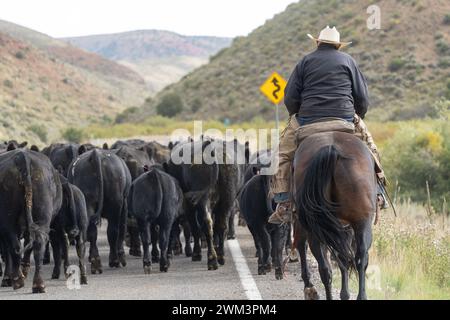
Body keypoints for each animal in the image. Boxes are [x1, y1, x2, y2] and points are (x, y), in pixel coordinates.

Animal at [0, 148, 62, 292]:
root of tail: (22, 157)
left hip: (8, 220)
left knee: (16, 246)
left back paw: (18, 279)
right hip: (41, 218)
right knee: (36, 243)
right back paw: (37, 284)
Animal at [67, 146, 131, 274]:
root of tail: (95, 154)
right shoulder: (124, 206)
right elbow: (122, 228)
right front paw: (121, 256)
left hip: (88, 203)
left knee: (92, 232)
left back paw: (95, 261)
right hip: (116, 204)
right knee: (113, 231)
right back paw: (114, 259)